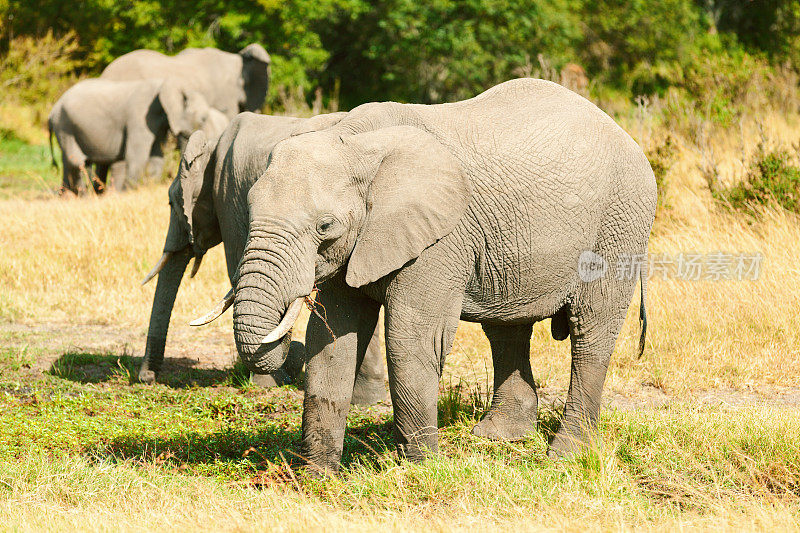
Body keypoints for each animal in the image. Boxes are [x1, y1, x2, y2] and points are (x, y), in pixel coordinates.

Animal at [216, 77, 652, 472]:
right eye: (249, 208)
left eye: (325, 226)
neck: (355, 140)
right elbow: (331, 339)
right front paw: (316, 477)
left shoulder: (440, 238)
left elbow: (411, 340)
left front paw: (421, 471)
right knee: (507, 330)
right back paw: (499, 437)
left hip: (620, 223)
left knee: (589, 332)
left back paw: (565, 455)